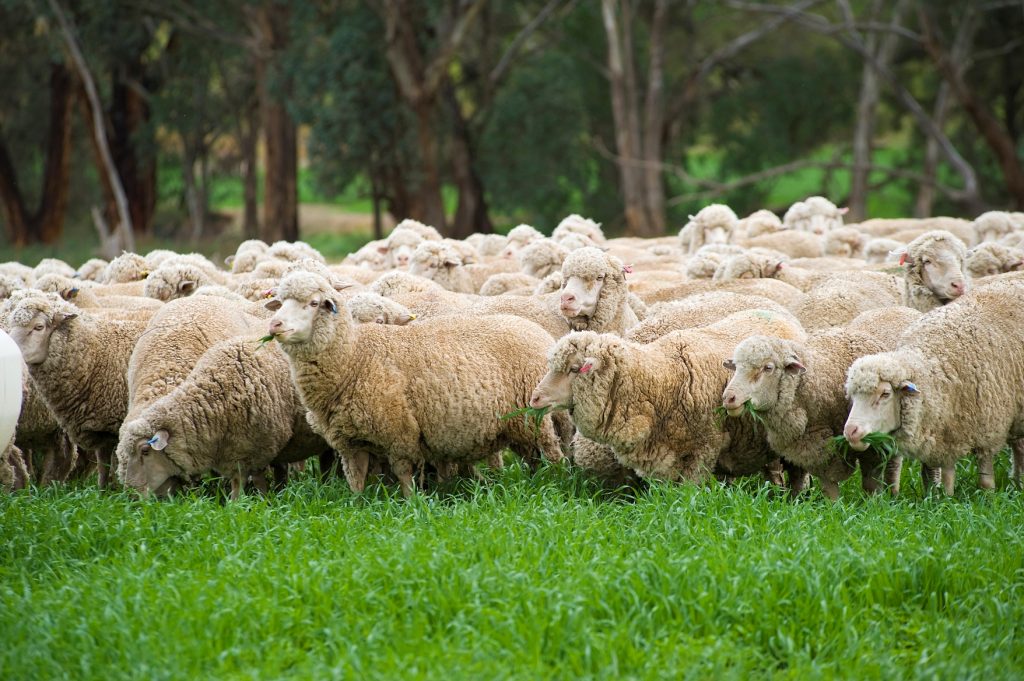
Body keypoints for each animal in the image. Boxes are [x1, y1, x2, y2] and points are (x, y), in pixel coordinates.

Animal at [117, 338, 330, 499]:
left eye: (145, 451)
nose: (131, 495)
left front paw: (253, 504)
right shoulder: (238, 454)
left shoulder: (258, 449)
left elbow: (249, 485)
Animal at [266, 271, 564, 496]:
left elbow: (404, 474)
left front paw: (412, 504)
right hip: (517, 425)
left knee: (552, 453)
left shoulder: (399, 431)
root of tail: (534, 330)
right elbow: (356, 480)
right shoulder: (348, 443)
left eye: (313, 303)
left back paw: (558, 481)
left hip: (534, 417)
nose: (275, 324)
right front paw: (358, 506)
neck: (354, 358)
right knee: (532, 457)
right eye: (281, 301)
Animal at [721, 329, 892, 499]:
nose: (729, 398)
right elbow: (818, 481)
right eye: (736, 367)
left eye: (768, 367)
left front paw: (870, 501)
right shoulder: (809, 447)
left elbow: (866, 479)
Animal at [844, 280, 1024, 494]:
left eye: (885, 394)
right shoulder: (945, 434)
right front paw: (945, 497)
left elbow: (986, 478)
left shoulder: (988, 428)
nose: (851, 431)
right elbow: (946, 477)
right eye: (853, 397)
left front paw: (988, 496)